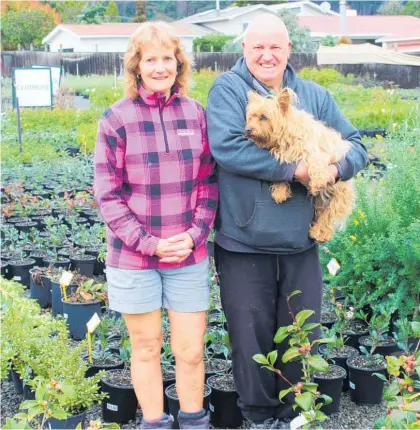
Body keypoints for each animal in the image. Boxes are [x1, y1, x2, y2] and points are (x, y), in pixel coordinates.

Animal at [244, 88, 356, 242]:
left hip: (339, 195)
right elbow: (281, 173)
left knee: (329, 216)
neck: (285, 136)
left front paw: (317, 183)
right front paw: (280, 192)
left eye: (263, 117)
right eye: (250, 117)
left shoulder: (316, 152)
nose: (247, 130)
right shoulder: (284, 158)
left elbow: (316, 166)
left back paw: (320, 232)